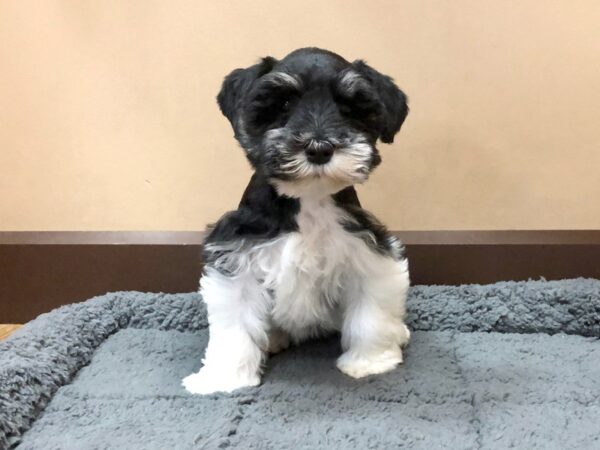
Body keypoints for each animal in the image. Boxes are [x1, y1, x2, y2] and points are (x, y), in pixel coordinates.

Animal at [183, 47, 410, 396]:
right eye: (285, 103)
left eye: (349, 108)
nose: (319, 148)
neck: (309, 200)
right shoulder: (238, 256)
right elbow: (234, 327)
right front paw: (225, 377)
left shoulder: (368, 252)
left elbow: (370, 315)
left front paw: (370, 361)